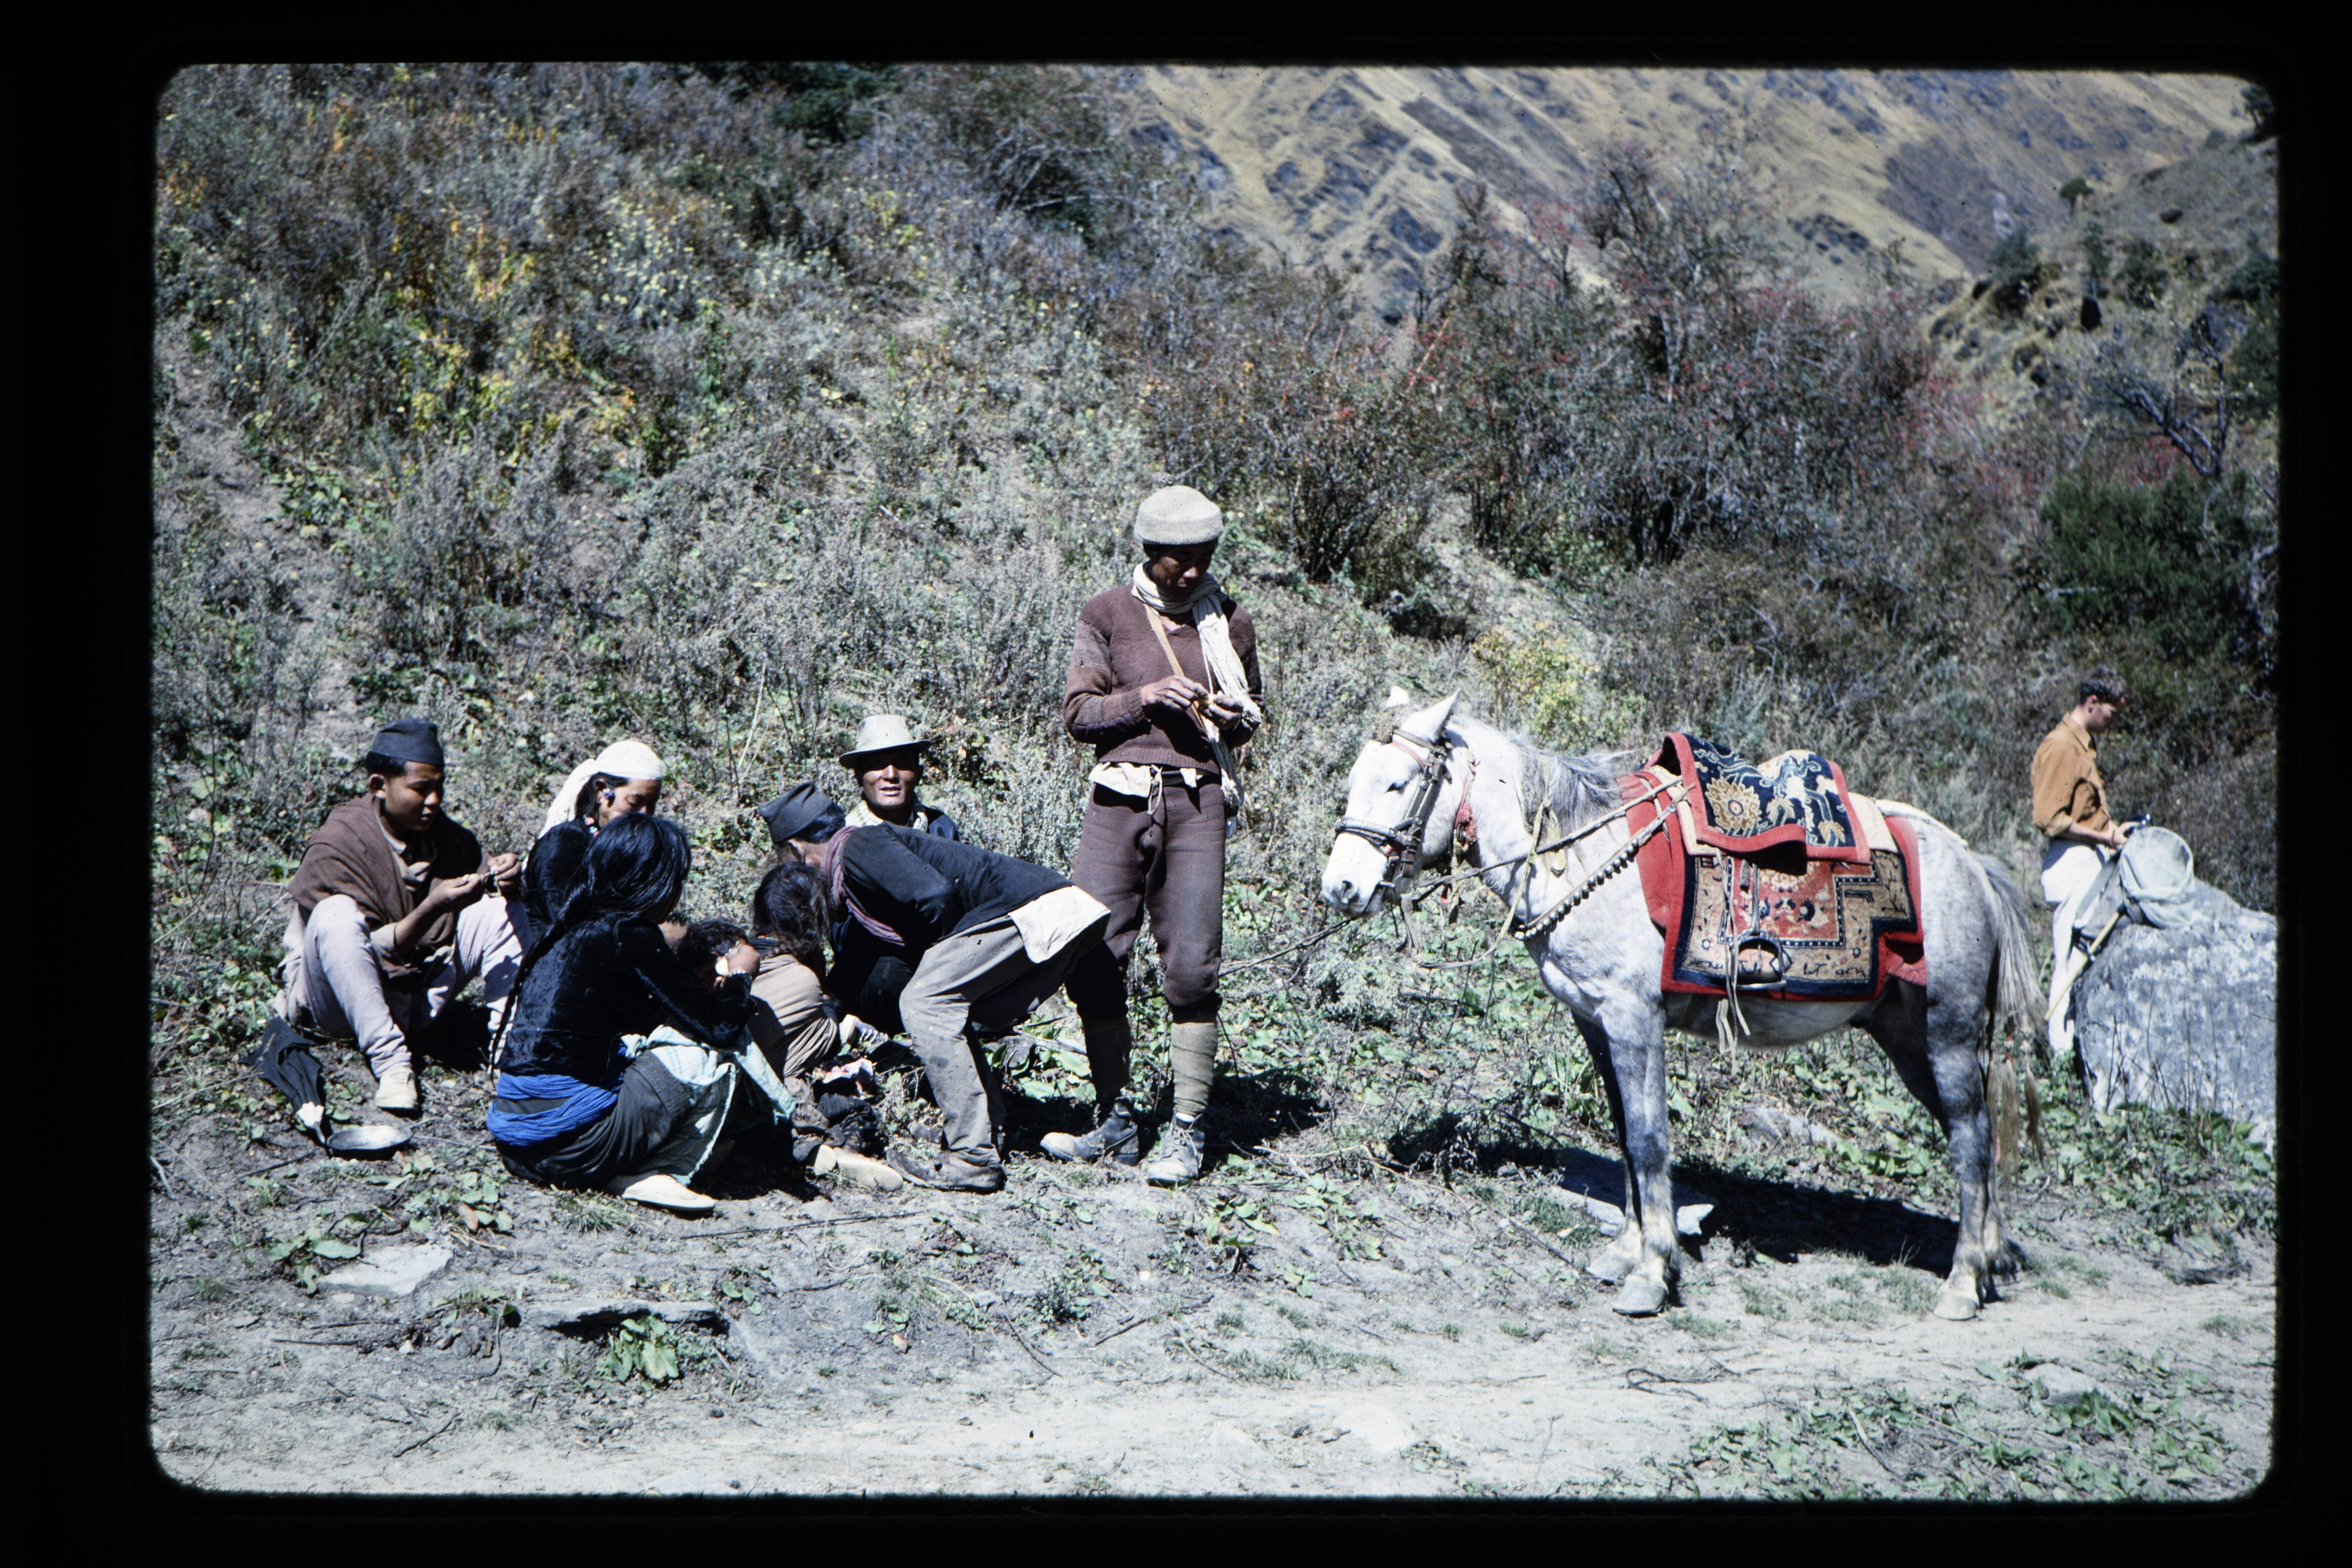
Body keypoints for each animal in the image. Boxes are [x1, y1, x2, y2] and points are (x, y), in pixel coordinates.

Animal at [1318, 693, 2043, 1320]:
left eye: (1398, 784)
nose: (1341, 888)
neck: (1579, 855)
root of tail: (1973, 865)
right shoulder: (1595, 1022)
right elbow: (1622, 1132)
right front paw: (1626, 1250)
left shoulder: (1633, 1018)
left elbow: (1646, 1138)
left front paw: (1651, 1272)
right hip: (1908, 1037)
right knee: (1977, 1134)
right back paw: (1990, 1260)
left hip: (1947, 1031)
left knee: (1968, 1140)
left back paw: (1962, 1282)